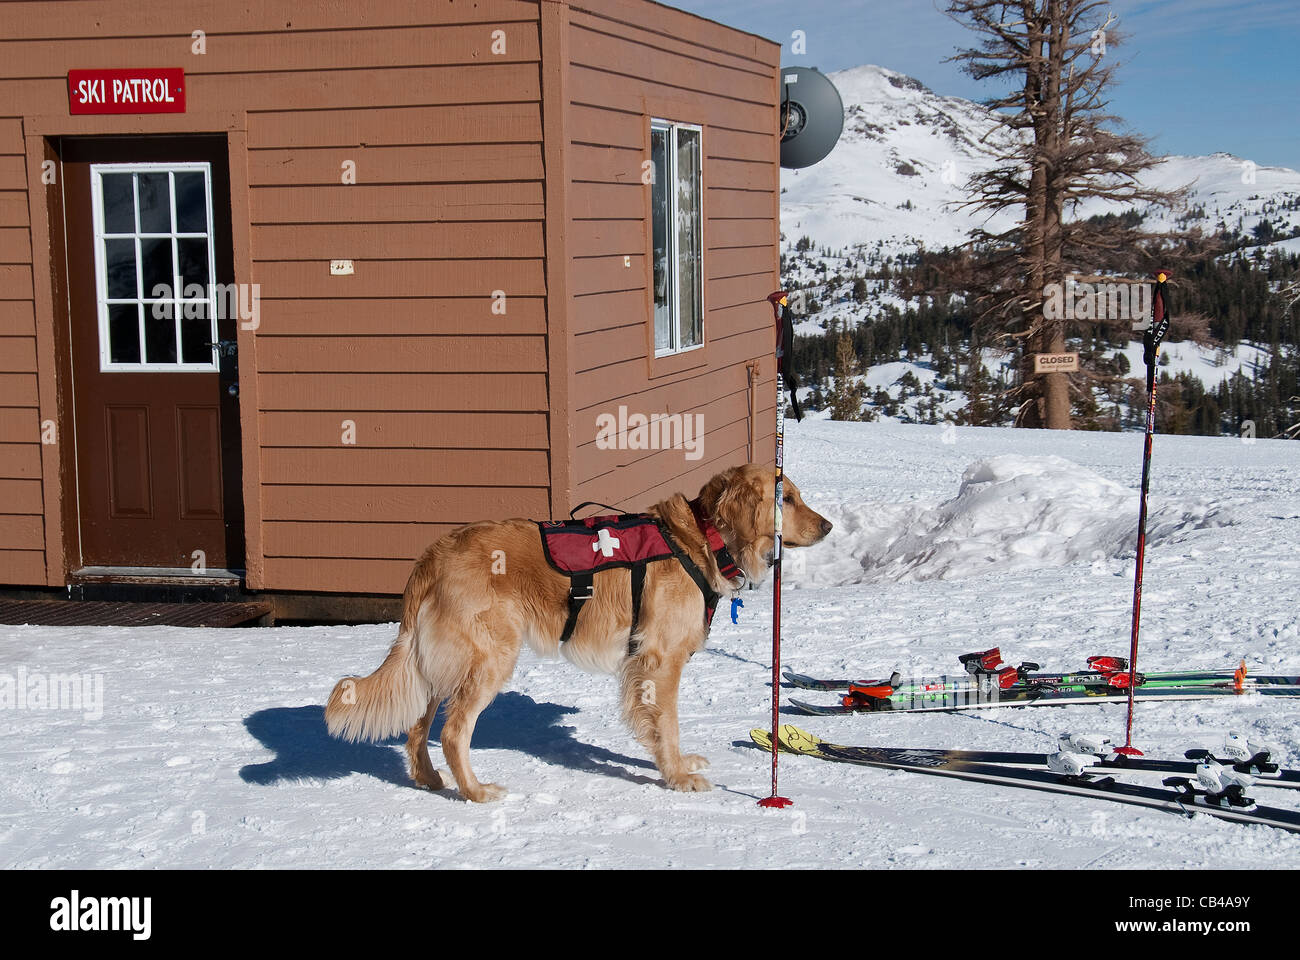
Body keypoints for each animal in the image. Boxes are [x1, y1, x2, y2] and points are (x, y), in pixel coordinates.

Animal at [325, 463, 832, 801]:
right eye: (786, 498)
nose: (828, 526)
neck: (702, 540)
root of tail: (435, 552)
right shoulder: (658, 661)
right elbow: (666, 724)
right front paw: (677, 777)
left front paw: (677, 765)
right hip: (489, 658)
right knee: (452, 733)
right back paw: (475, 791)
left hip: (440, 664)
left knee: (417, 727)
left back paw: (431, 780)